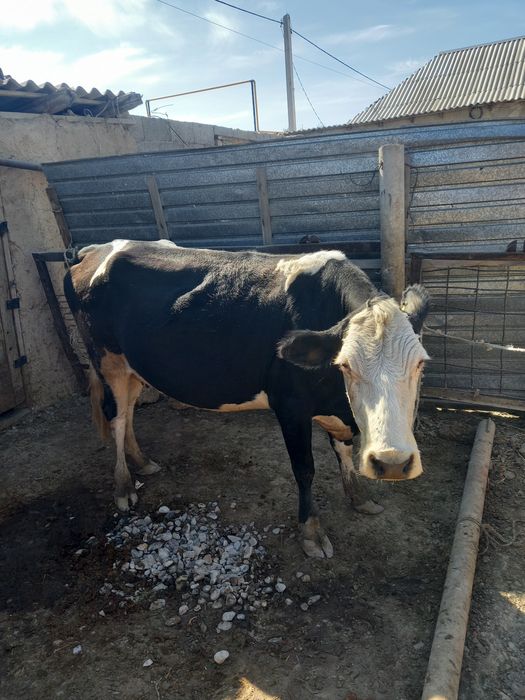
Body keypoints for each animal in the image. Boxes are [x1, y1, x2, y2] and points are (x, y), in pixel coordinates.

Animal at [64, 240, 429, 559]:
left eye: (421, 363)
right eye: (345, 365)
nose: (392, 463)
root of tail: (95, 249)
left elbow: (343, 452)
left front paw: (359, 498)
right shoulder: (290, 406)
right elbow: (305, 469)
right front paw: (311, 533)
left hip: (133, 366)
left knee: (128, 412)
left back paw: (141, 462)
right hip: (106, 360)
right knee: (116, 416)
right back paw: (124, 487)